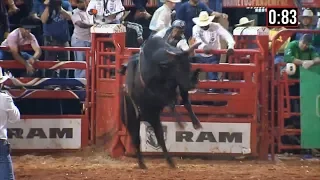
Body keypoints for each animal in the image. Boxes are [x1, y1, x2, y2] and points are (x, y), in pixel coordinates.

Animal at [119, 37, 204, 169]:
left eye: (189, 64)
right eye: (177, 67)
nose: (192, 83)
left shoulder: (180, 86)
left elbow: (186, 103)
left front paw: (196, 123)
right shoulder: (156, 92)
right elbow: (171, 105)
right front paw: (181, 124)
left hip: (153, 118)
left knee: (159, 137)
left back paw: (170, 162)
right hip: (132, 120)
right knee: (136, 139)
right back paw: (142, 164)